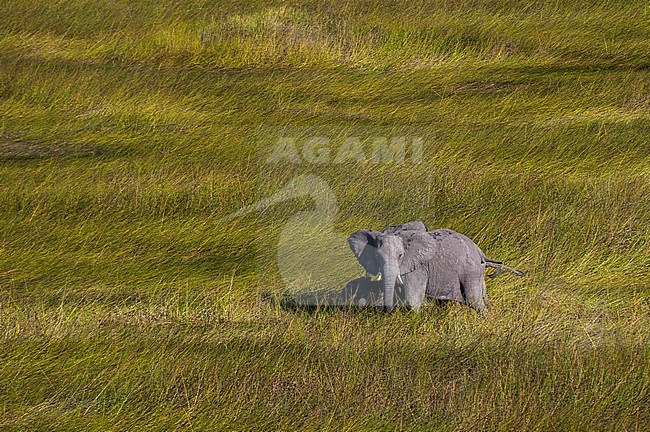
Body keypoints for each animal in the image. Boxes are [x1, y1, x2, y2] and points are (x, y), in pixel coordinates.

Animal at [350, 224, 520, 312]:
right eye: (376, 256)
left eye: (400, 255)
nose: (388, 311)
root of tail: (480, 252)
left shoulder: (418, 268)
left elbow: (412, 300)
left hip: (471, 270)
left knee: (474, 301)